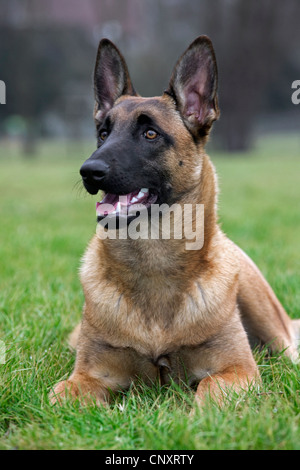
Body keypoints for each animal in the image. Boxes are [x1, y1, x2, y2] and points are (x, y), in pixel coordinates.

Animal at [50, 35, 298, 408]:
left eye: (151, 134)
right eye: (103, 133)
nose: (88, 171)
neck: (154, 260)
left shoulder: (238, 371)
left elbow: (210, 388)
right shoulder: (86, 376)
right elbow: (59, 397)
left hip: (269, 321)